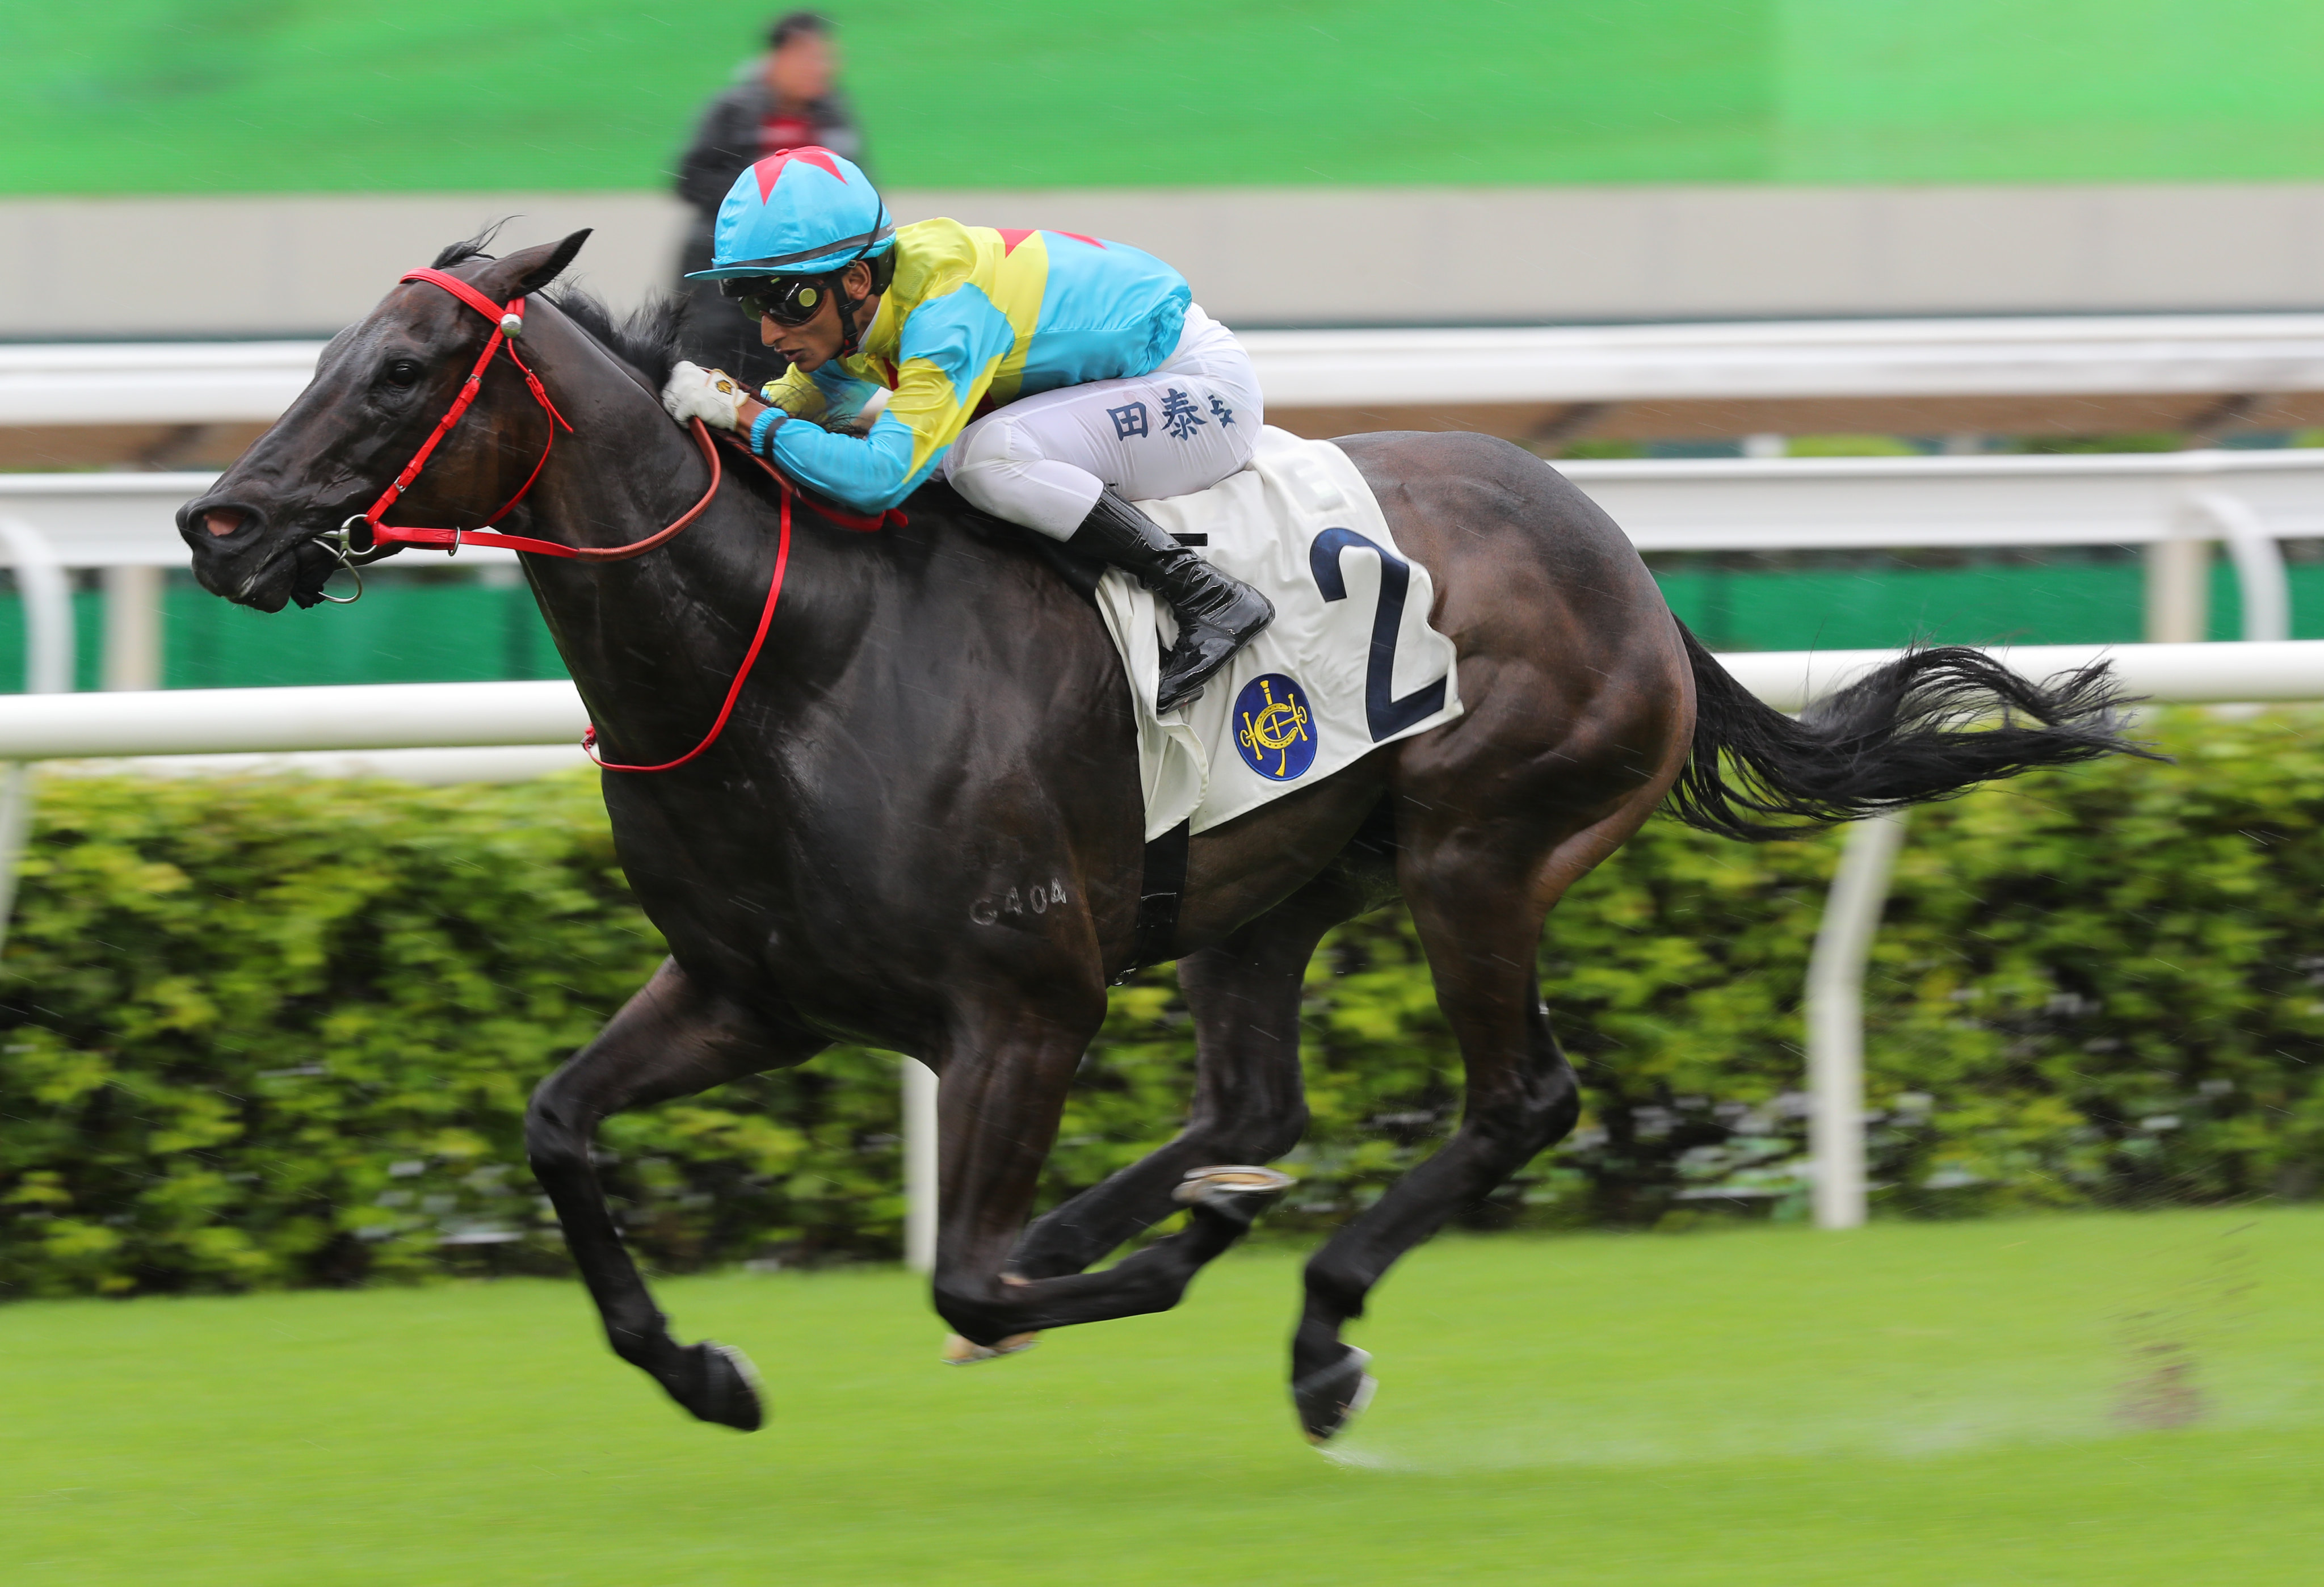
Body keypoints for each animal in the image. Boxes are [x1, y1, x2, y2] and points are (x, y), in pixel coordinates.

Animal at [176, 232, 2138, 1441]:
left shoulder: (1022, 1003)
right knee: (1251, 1104)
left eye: (405, 366)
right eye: (330, 353)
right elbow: (559, 1128)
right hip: (1265, 888)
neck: (795, 655)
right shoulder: (747, 989)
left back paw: (1313, 1317)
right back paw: (1176, 1213)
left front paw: (1149, 1265)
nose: (219, 521)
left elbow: (961, 1261)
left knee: (1515, 1098)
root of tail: (1629, 565)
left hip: (1477, 855)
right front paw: (705, 1367)